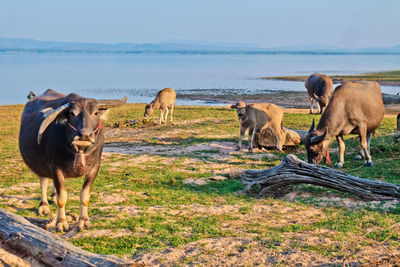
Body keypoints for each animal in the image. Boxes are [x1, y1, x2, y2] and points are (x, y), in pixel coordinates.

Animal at [19, 90, 126, 232]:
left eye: (95, 113)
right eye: (72, 113)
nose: (84, 135)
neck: (79, 150)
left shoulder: (94, 168)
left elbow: (85, 196)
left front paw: (84, 221)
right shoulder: (55, 167)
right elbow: (62, 197)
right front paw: (61, 222)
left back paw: (52, 196)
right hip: (40, 164)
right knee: (43, 181)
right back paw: (44, 206)